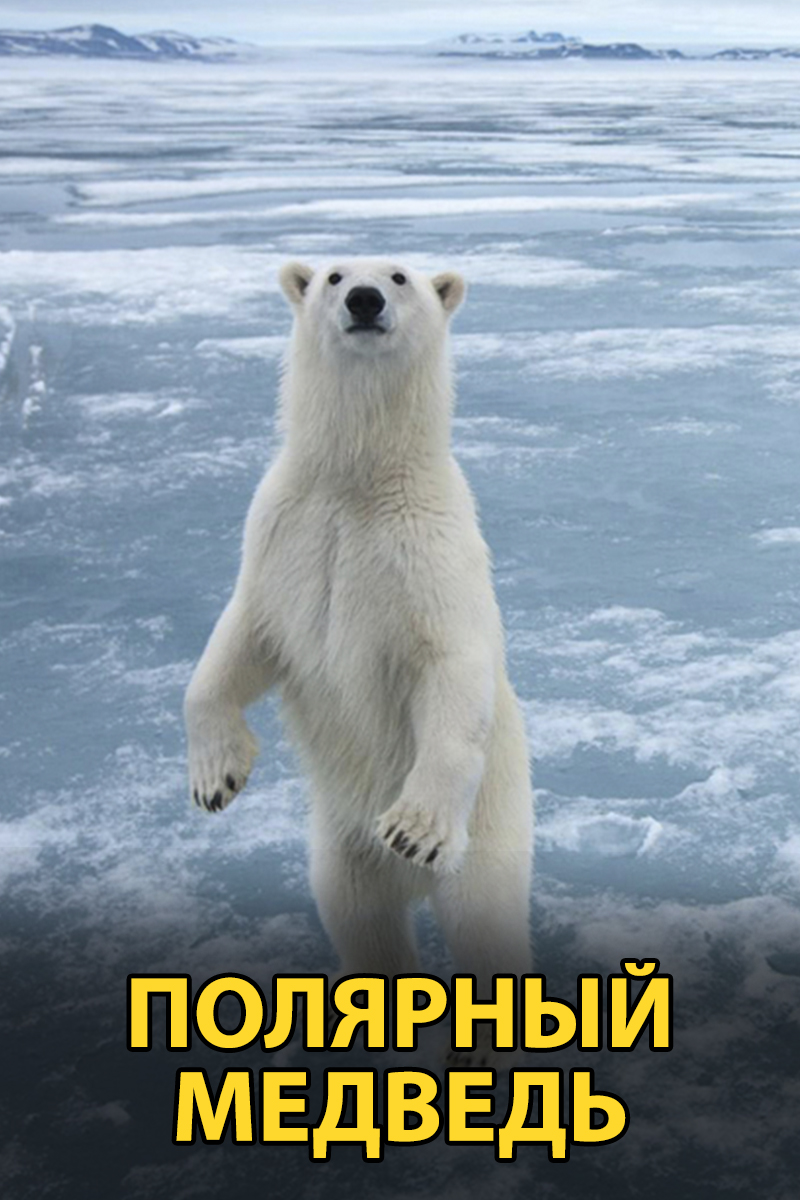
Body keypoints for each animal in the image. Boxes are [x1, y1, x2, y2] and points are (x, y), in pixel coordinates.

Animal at [184, 257, 534, 998]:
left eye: (400, 276)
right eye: (334, 274)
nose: (365, 300)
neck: (357, 481)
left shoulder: (429, 554)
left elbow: (451, 669)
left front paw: (413, 829)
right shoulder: (283, 535)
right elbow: (239, 642)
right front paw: (216, 778)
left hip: (490, 833)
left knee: (484, 922)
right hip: (338, 849)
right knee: (362, 921)